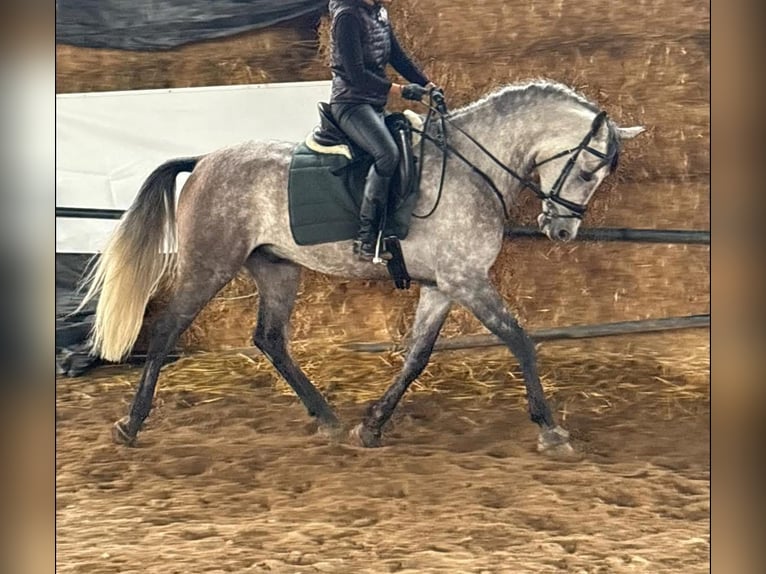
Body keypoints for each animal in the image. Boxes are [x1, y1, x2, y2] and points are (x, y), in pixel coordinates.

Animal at [79, 79, 644, 455]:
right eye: (589, 169)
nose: (561, 231)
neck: (472, 168)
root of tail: (203, 161)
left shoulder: (443, 286)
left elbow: (417, 356)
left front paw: (371, 425)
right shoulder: (466, 281)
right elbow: (521, 341)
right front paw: (550, 430)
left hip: (277, 267)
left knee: (269, 338)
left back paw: (327, 417)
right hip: (209, 264)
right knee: (168, 329)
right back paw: (131, 424)